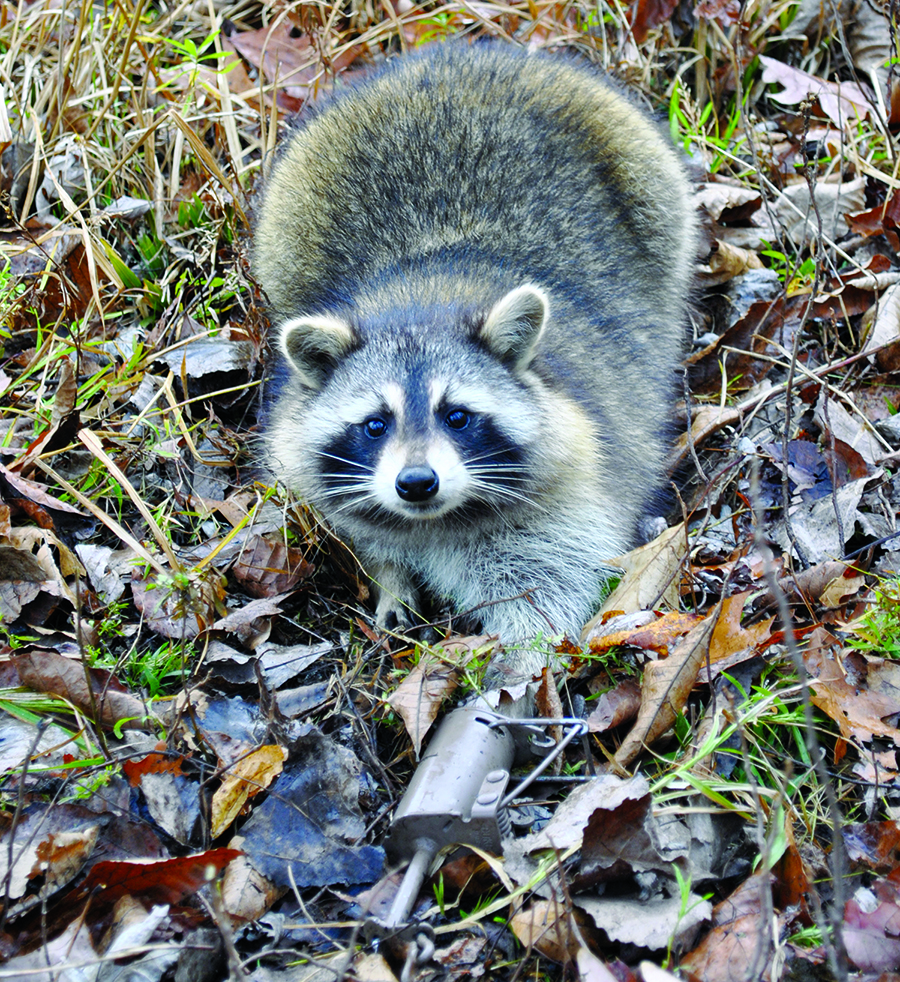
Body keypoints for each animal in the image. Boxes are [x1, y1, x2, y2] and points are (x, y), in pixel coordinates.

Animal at [256, 42, 700, 648]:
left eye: (458, 416)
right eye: (375, 424)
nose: (416, 483)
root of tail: (479, 54)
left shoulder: (573, 493)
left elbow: (548, 589)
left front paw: (517, 658)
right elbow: (361, 537)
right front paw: (389, 578)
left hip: (649, 175)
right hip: (293, 195)